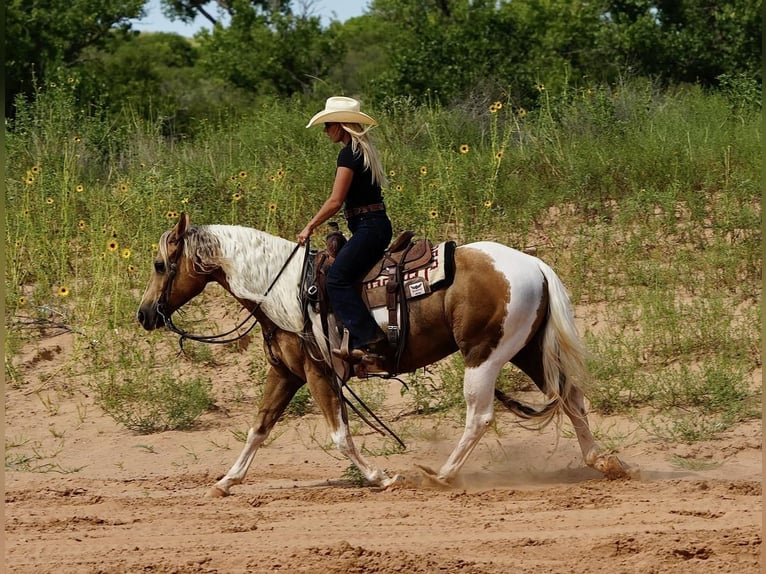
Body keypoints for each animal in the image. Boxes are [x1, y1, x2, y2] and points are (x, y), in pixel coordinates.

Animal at [138, 214, 632, 498]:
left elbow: (340, 436)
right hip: (525, 352)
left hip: (484, 356)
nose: (144, 314)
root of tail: (533, 264)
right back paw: (604, 462)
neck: (282, 290)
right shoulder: (286, 372)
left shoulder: (318, 373)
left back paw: (440, 475)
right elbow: (258, 427)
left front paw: (379, 477)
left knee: (480, 416)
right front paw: (227, 481)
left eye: (161, 265)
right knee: (571, 398)